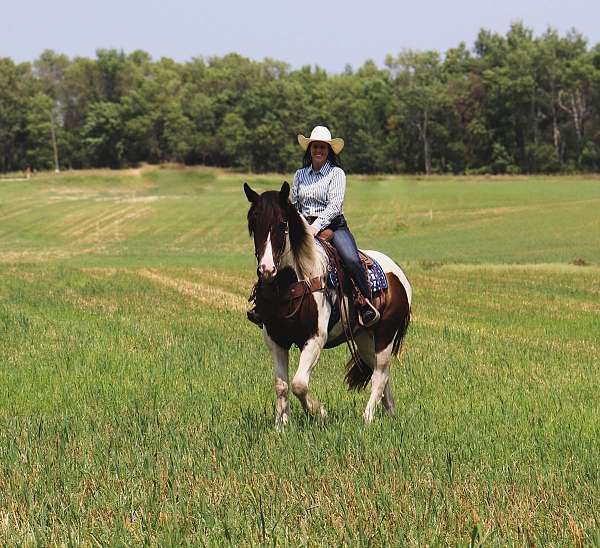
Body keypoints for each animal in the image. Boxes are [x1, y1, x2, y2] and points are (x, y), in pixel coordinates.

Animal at [244, 181, 412, 428]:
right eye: (253, 221)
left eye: (282, 223)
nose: (266, 269)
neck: (291, 283)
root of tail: (399, 274)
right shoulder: (275, 339)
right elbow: (282, 385)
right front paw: (280, 426)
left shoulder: (315, 338)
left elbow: (299, 384)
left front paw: (319, 412)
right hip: (364, 337)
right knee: (381, 373)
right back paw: (390, 414)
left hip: (385, 334)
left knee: (380, 374)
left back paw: (367, 417)